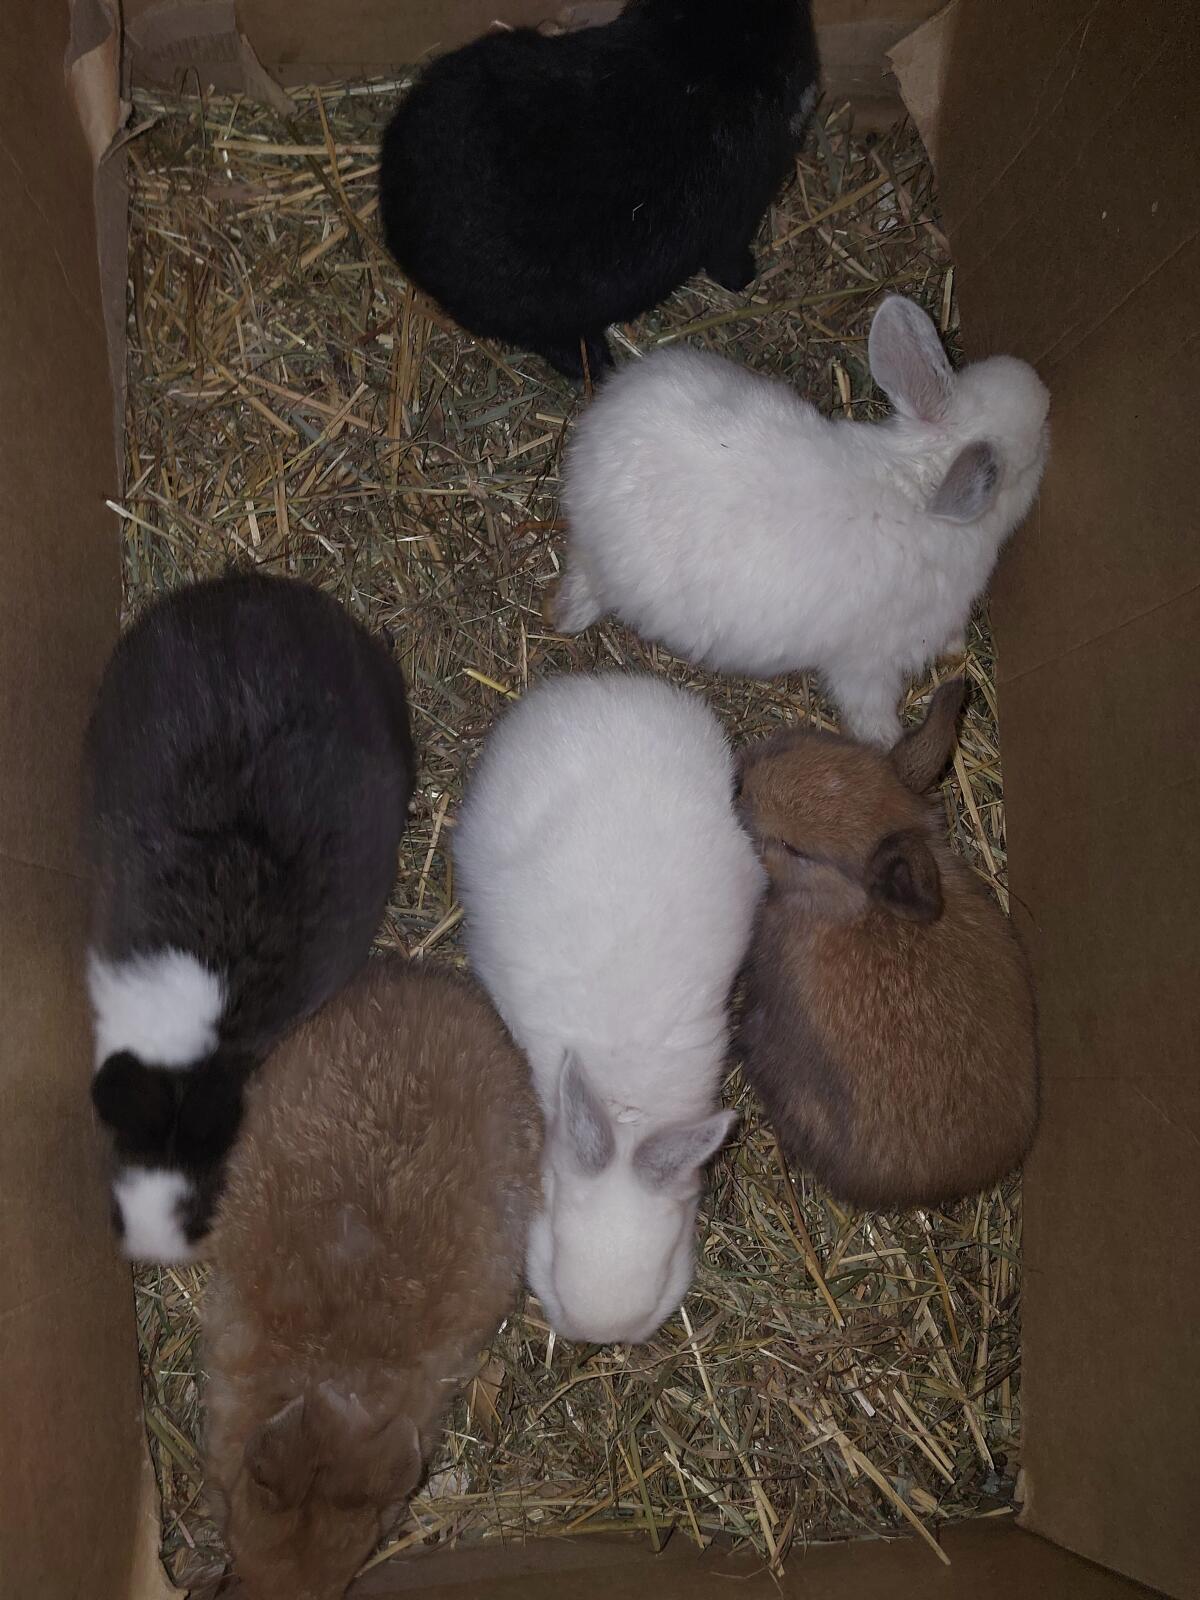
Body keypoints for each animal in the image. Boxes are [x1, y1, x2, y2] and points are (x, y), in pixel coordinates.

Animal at [557, 295, 1050, 745]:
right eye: (1030, 457)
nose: (1046, 397)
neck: (922, 490)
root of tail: (593, 438)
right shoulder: (867, 665)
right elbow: (868, 709)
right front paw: (889, 741)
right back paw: (570, 617)